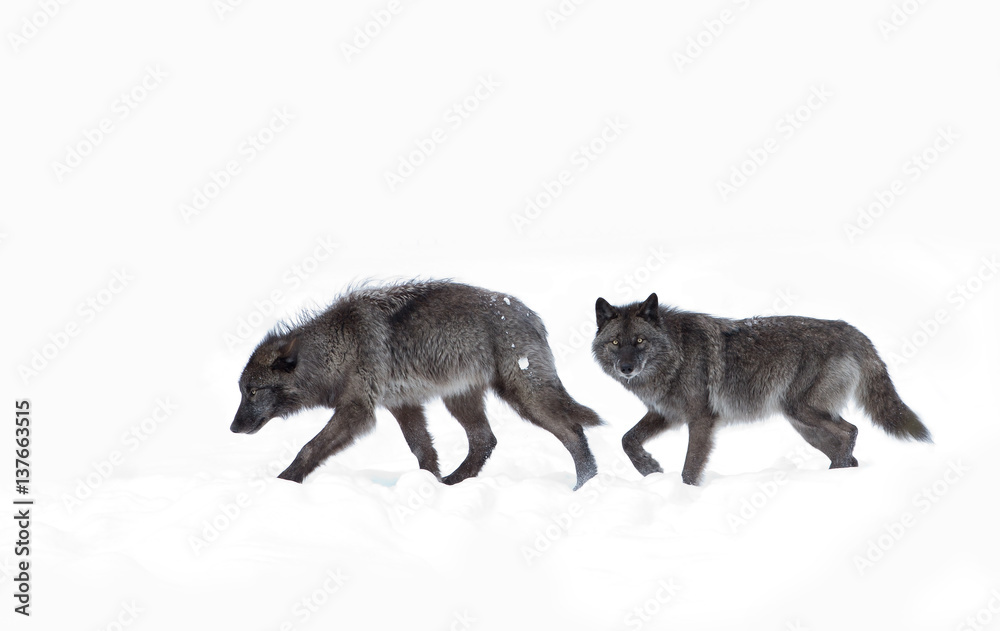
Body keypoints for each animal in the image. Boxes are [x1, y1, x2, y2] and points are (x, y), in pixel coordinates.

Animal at [231, 280, 602, 489]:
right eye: (243, 391)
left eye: (253, 391)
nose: (233, 428)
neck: (341, 346)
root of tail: (533, 317)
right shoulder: (402, 405)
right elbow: (423, 450)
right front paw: (429, 485)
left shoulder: (357, 411)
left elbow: (309, 447)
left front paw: (281, 484)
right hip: (461, 400)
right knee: (485, 441)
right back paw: (452, 483)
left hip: (524, 397)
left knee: (572, 431)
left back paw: (584, 486)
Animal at [592, 293, 931, 485]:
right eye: (615, 342)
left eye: (639, 341)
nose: (626, 368)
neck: (677, 354)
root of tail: (852, 331)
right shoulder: (664, 415)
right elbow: (627, 439)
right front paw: (649, 468)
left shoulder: (701, 420)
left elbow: (690, 468)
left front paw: (685, 495)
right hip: (805, 426)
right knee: (847, 446)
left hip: (803, 412)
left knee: (851, 431)